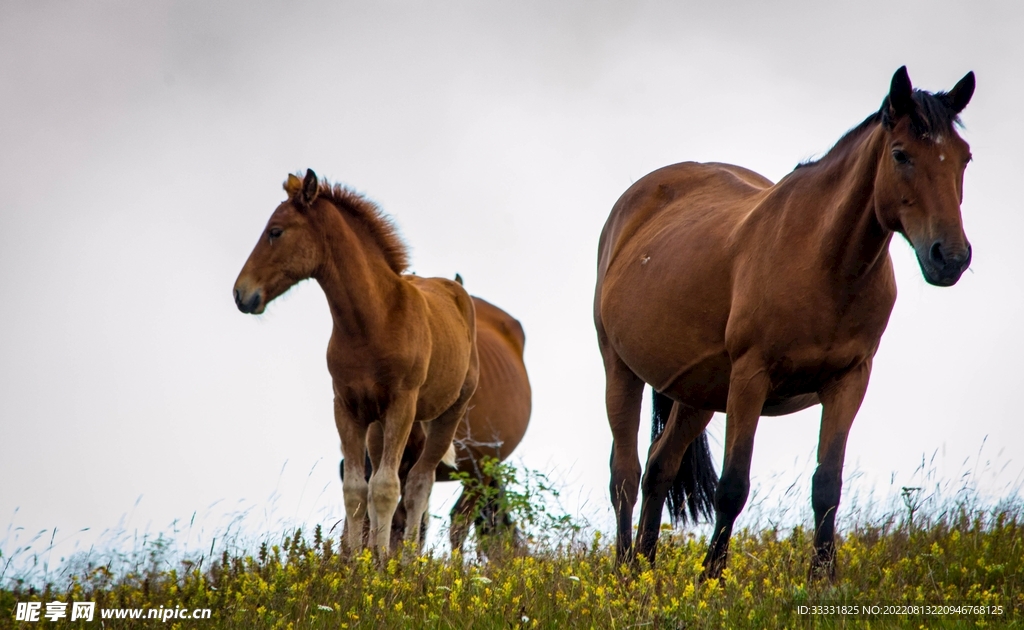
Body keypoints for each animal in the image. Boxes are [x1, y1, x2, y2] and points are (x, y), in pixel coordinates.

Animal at [232, 170, 479, 553]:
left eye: (275, 231)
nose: (241, 293)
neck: (373, 321)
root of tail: (457, 292)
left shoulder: (401, 405)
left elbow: (387, 487)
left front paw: (382, 562)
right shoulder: (346, 406)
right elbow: (356, 489)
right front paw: (356, 559)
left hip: (448, 413)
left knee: (419, 483)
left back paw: (409, 559)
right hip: (377, 425)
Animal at [593, 66, 974, 577]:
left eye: (964, 158)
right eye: (901, 154)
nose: (950, 257)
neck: (825, 264)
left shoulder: (849, 380)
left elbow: (827, 486)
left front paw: (822, 579)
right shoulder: (750, 378)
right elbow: (732, 487)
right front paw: (712, 577)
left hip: (698, 393)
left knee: (658, 467)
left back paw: (645, 569)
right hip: (621, 369)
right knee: (625, 475)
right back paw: (624, 574)